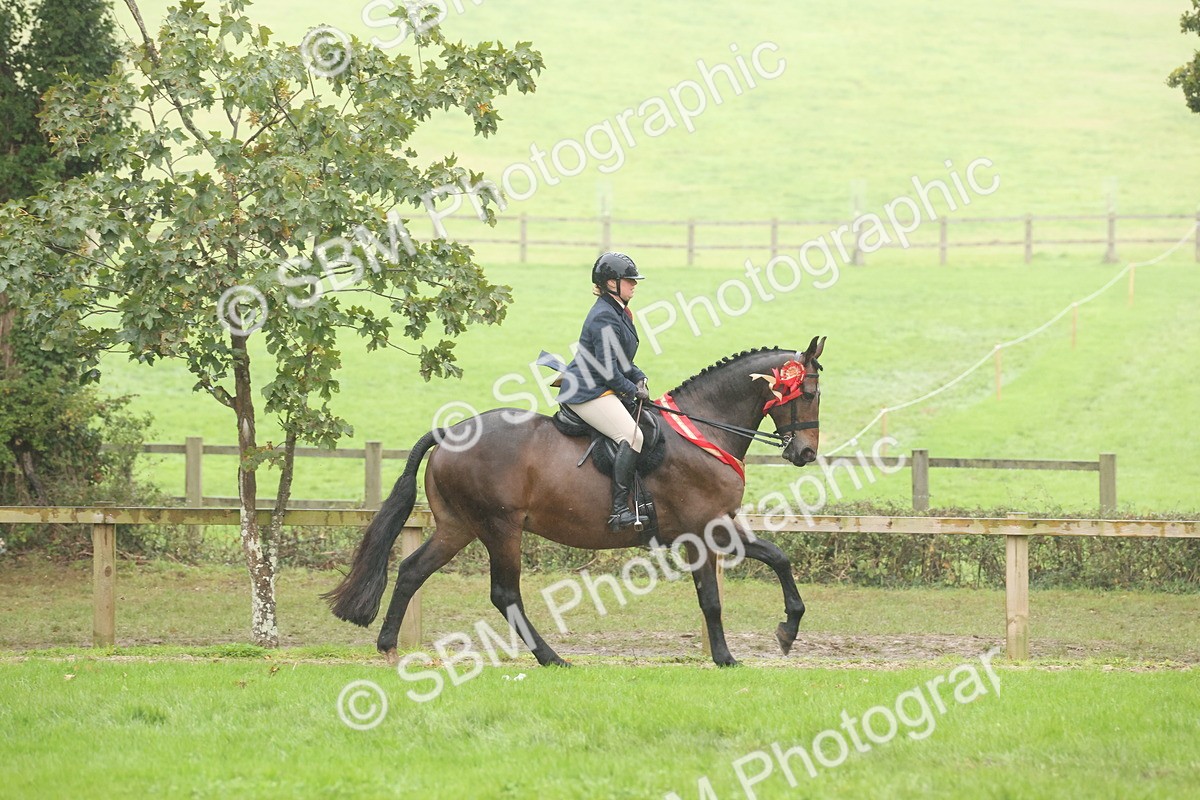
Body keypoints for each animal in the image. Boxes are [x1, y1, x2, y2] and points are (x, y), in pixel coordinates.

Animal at [324, 336, 826, 667]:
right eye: (810, 392)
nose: (805, 453)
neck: (704, 431)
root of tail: (449, 433)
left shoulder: (718, 524)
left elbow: (776, 558)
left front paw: (786, 631)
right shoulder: (702, 528)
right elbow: (712, 600)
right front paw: (727, 657)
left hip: (458, 527)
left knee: (412, 571)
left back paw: (388, 645)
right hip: (500, 528)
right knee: (505, 594)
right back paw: (552, 658)